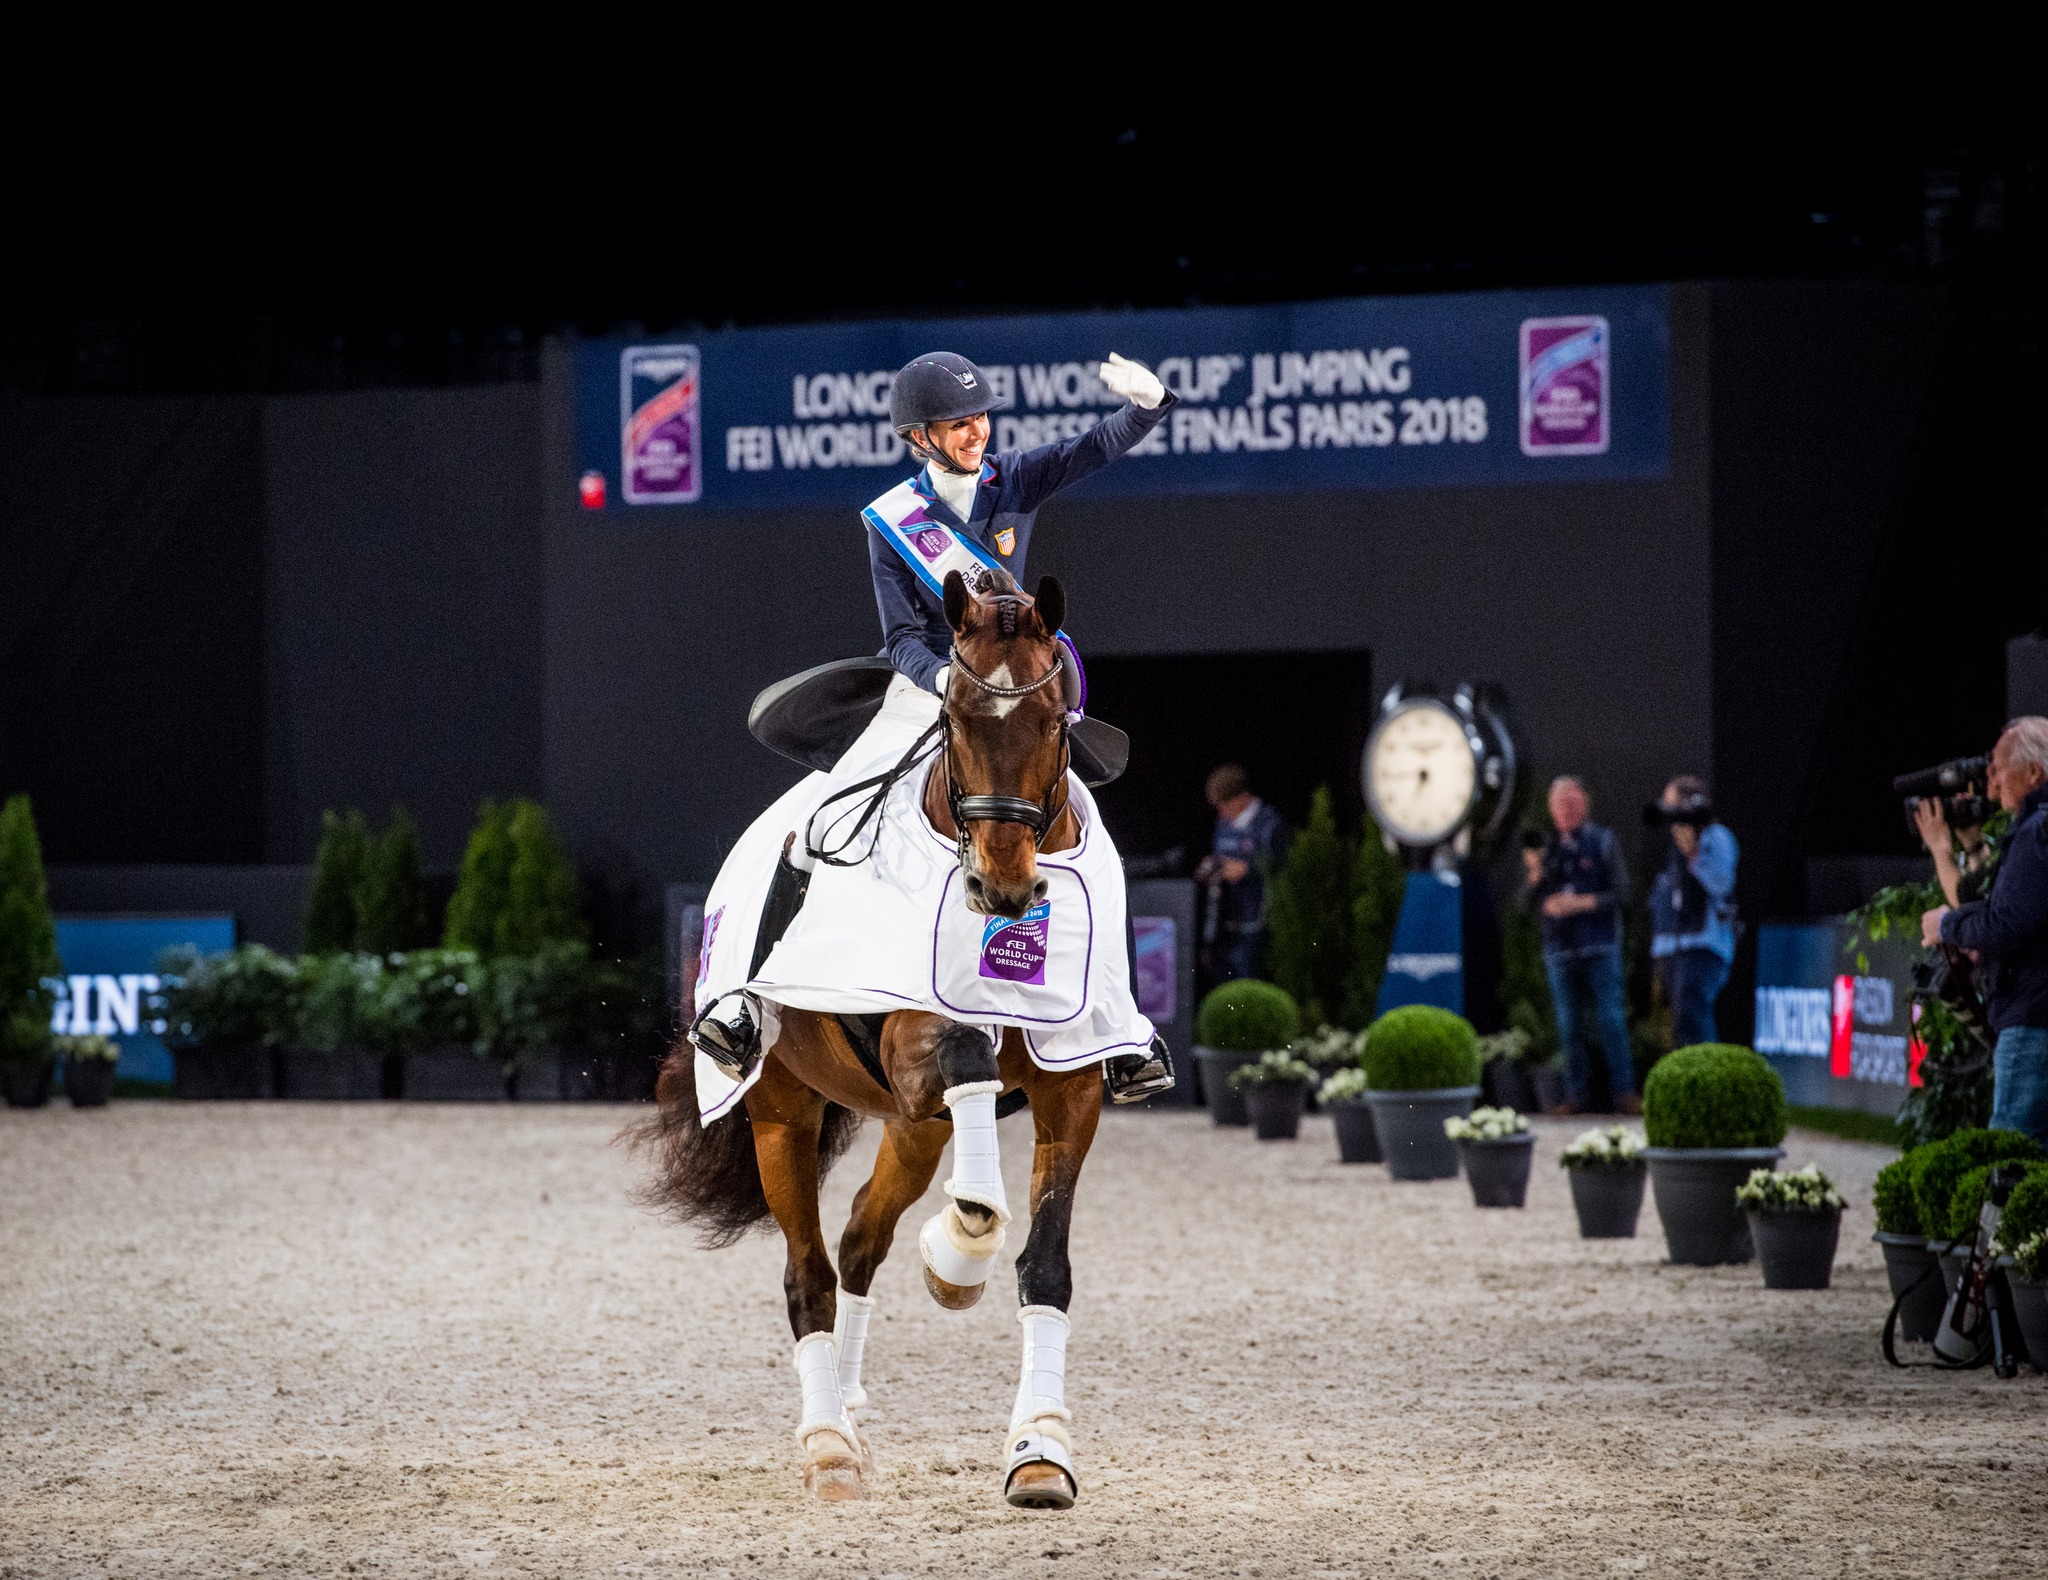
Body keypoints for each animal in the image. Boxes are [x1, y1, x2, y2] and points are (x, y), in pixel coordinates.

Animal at [636, 569, 1105, 1510]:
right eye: (954, 718)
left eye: (1053, 719)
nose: (1003, 889)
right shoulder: (911, 1041)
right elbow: (964, 1061)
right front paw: (960, 1253)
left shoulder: (1072, 1083)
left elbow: (1046, 1265)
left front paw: (1039, 1450)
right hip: (782, 1109)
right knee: (809, 1274)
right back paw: (828, 1447)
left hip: (914, 1127)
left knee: (858, 1240)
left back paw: (854, 1405)